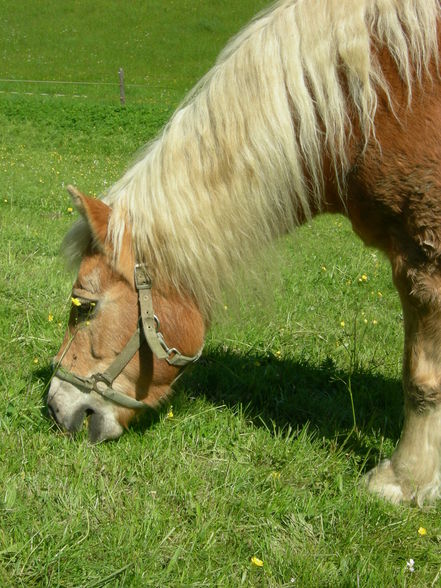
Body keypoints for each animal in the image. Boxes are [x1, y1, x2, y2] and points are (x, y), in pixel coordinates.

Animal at [47, 0, 440, 506]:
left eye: (85, 305)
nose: (54, 408)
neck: (374, 102)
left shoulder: (423, 255)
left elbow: (422, 379)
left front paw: (406, 479)